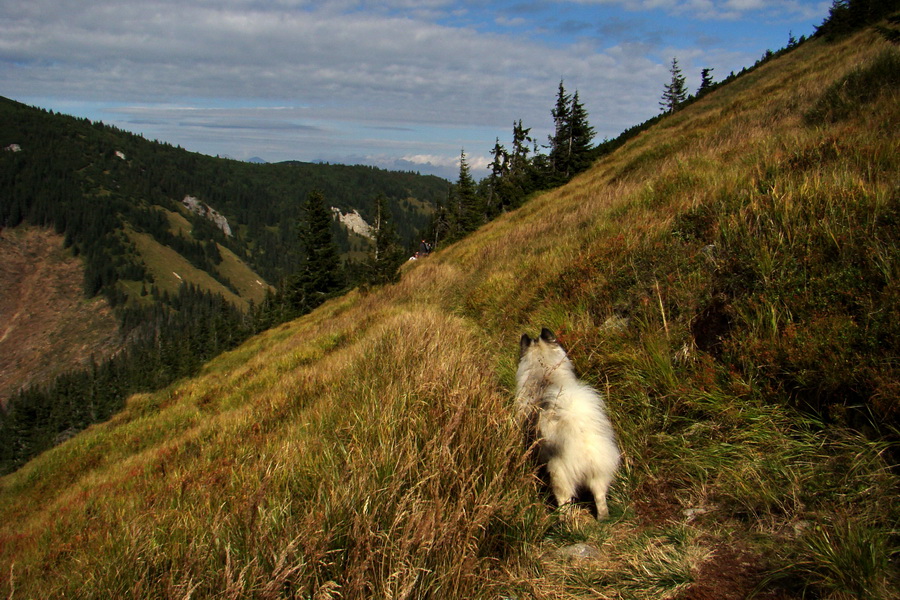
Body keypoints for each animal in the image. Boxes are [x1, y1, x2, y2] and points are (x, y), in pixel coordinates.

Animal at [512, 328, 620, 520]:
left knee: (564, 503)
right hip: (599, 476)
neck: (544, 372)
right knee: (600, 499)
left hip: (559, 476)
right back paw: (603, 518)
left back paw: (562, 522)